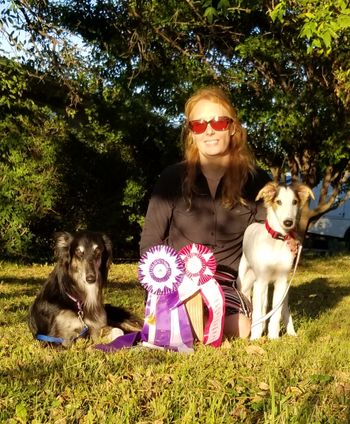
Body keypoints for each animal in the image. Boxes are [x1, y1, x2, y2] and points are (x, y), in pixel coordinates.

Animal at [238, 181, 314, 340]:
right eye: (278, 202)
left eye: (295, 202)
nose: (288, 222)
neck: (276, 242)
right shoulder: (260, 282)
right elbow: (258, 313)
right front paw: (255, 338)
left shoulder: (281, 281)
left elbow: (276, 313)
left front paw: (273, 337)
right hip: (245, 280)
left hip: (282, 289)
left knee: (283, 309)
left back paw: (291, 332)